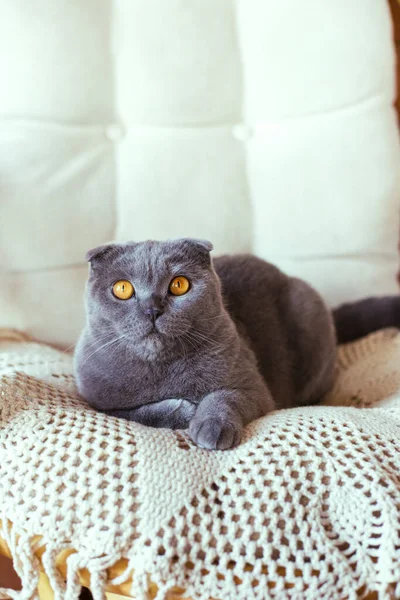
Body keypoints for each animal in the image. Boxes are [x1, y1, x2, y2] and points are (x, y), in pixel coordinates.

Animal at [73, 239, 400, 450]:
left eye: (179, 285)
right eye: (122, 288)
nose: (152, 309)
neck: (162, 371)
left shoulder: (254, 388)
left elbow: (225, 396)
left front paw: (211, 427)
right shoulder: (98, 402)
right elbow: (138, 411)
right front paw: (185, 411)